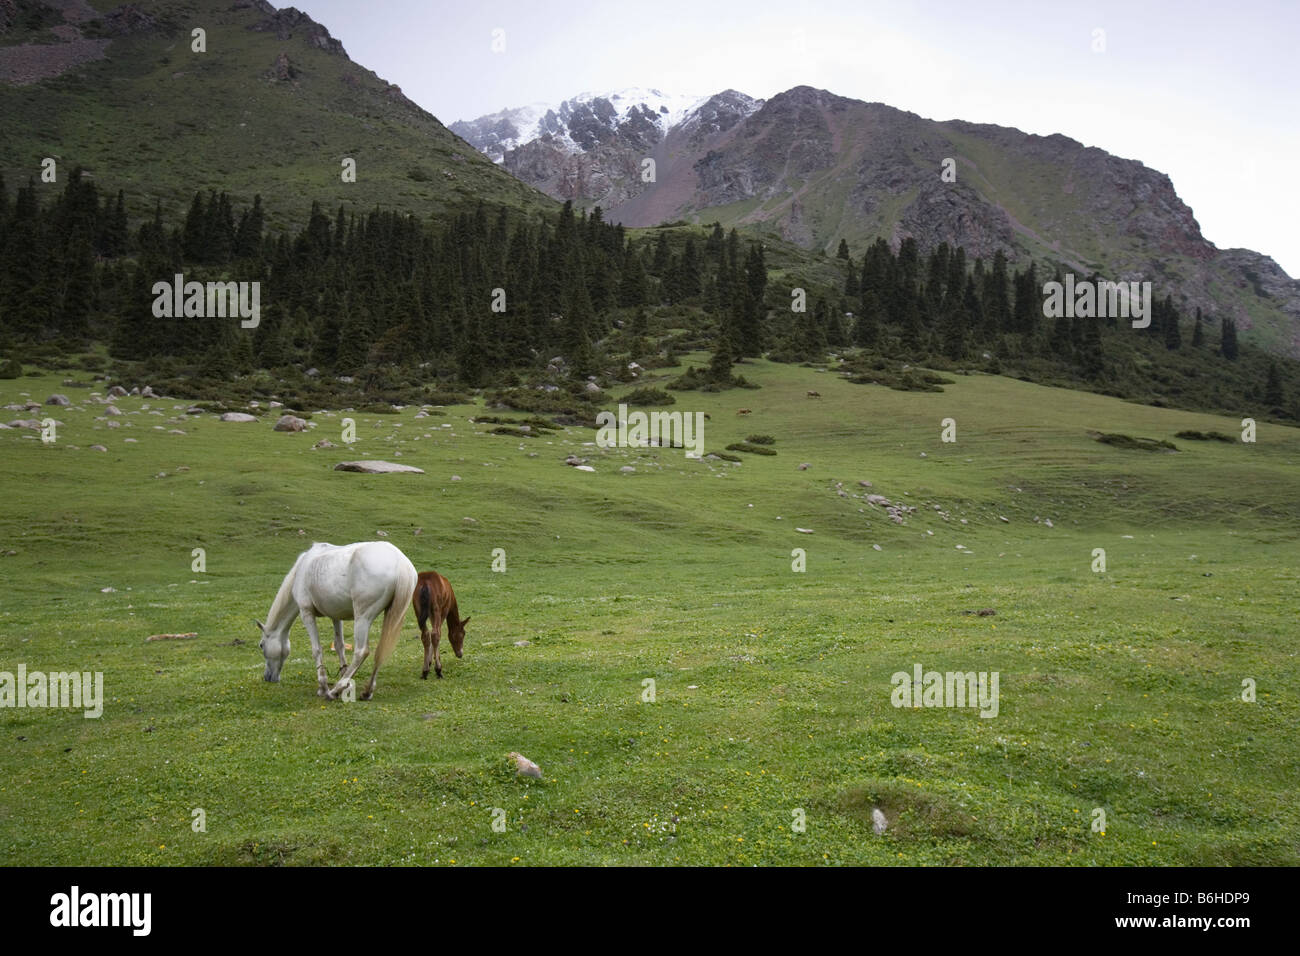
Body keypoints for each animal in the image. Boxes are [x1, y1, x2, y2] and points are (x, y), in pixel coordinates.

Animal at [253, 541, 416, 697]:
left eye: (261, 645)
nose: (268, 677)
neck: (304, 567)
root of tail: (400, 562)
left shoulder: (306, 613)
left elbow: (316, 650)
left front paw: (323, 687)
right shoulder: (336, 616)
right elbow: (339, 646)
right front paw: (346, 681)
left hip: (362, 618)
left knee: (361, 652)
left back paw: (335, 690)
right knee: (380, 651)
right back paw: (366, 691)